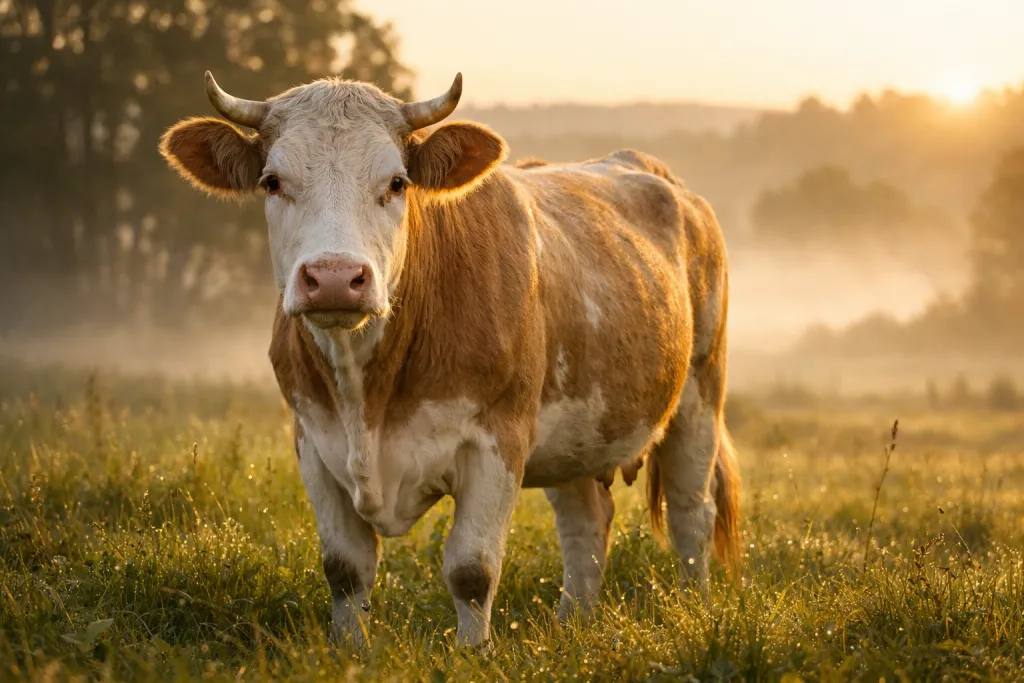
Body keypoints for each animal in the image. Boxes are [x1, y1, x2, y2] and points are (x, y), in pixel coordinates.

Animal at [158, 71, 741, 648]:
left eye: (397, 183)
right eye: (273, 181)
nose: (334, 277)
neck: (366, 398)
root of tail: (652, 172)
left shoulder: (499, 439)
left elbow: (471, 568)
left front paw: (473, 654)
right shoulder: (313, 441)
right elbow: (345, 569)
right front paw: (349, 651)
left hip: (699, 393)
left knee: (692, 512)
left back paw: (695, 609)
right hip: (578, 431)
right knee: (586, 522)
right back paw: (571, 624)